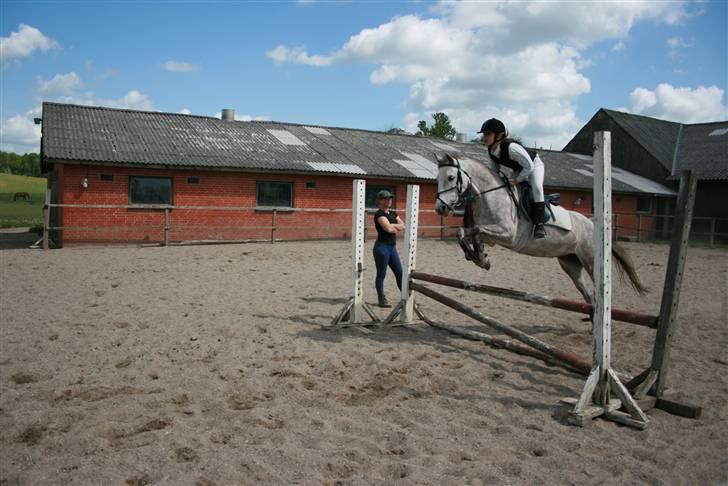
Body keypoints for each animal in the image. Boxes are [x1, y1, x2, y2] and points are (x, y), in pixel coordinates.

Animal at [434, 153, 648, 304]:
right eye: (437, 179)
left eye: (451, 177)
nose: (440, 208)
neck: (490, 195)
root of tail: (593, 225)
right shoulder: (492, 236)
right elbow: (467, 232)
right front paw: (480, 258)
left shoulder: (508, 235)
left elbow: (476, 230)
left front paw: (480, 258)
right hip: (570, 263)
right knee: (588, 295)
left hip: (591, 260)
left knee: (600, 289)